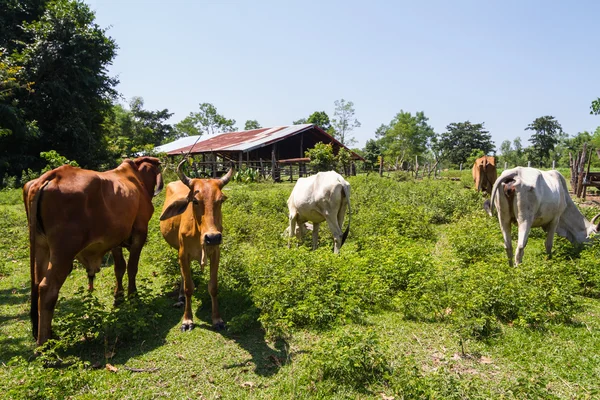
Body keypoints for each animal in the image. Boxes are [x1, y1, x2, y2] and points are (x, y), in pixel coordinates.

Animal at [23, 158, 163, 346]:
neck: (137, 180)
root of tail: (52, 175)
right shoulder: (140, 233)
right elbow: (132, 268)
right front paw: (133, 297)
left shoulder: (116, 239)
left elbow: (119, 268)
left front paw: (118, 298)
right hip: (63, 251)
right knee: (47, 289)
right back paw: (45, 342)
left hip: (41, 248)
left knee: (37, 284)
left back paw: (48, 333)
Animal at [158, 159, 233, 332]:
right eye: (195, 200)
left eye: (221, 200)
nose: (212, 237)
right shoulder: (183, 254)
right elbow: (188, 288)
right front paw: (187, 320)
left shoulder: (215, 253)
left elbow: (213, 287)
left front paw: (217, 319)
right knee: (183, 275)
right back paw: (180, 297)